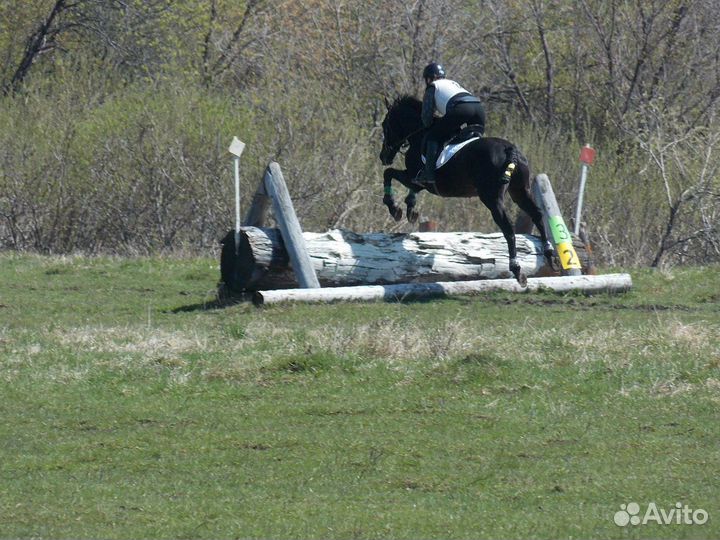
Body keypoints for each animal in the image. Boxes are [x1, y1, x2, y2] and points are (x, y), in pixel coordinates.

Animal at [380, 95, 556, 286]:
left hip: (492, 198)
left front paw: (394, 209)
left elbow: (388, 173)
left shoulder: (416, 177)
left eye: (385, 125)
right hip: (519, 191)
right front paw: (410, 210)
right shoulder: (417, 181)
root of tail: (510, 149)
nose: (383, 156)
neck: (419, 134)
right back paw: (550, 255)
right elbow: (406, 186)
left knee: (509, 230)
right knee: (537, 215)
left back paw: (516, 269)